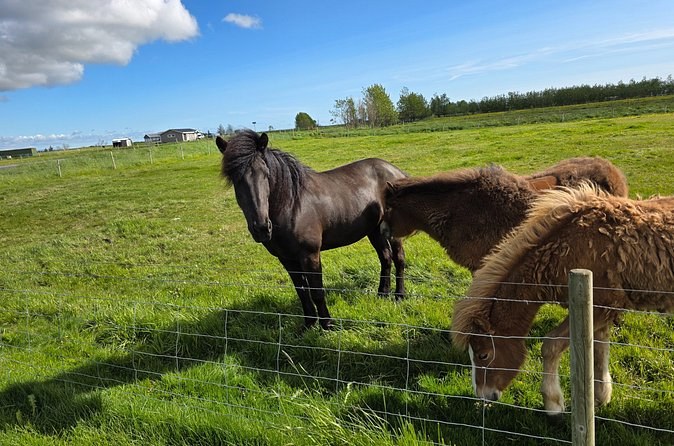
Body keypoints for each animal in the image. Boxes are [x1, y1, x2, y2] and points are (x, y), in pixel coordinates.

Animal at [216, 130, 407, 330]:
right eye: (234, 179)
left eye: (265, 174)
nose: (261, 228)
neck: (291, 206)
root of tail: (394, 171)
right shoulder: (287, 259)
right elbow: (302, 292)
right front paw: (308, 324)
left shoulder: (310, 255)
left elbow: (316, 291)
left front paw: (327, 325)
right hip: (374, 230)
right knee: (385, 258)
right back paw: (382, 294)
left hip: (393, 232)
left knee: (399, 259)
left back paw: (399, 296)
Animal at [451, 184, 674, 415]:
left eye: (483, 355)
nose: (483, 396)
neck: (567, 247)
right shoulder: (602, 312)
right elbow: (600, 350)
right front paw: (601, 397)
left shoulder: (599, 308)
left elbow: (550, 345)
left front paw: (553, 404)